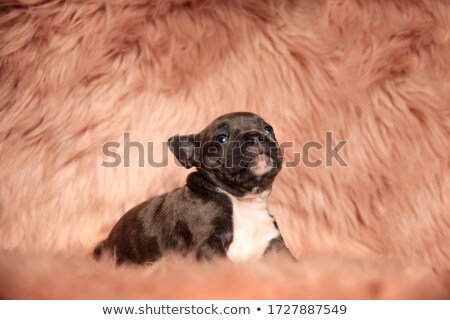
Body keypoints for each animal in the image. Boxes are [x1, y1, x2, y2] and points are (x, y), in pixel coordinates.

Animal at [94, 111, 292, 264]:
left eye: (268, 129)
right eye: (222, 138)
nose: (256, 136)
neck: (244, 201)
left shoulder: (275, 243)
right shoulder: (207, 244)